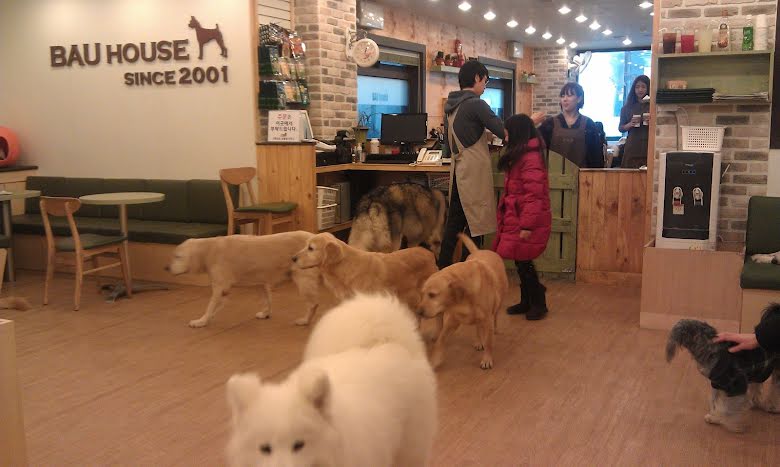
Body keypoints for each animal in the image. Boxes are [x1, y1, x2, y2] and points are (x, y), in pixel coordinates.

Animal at [167, 232, 320, 327]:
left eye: (178, 256)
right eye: (174, 255)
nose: (166, 268)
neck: (208, 249)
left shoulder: (219, 287)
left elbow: (210, 306)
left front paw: (201, 321)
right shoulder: (259, 282)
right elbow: (268, 299)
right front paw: (265, 313)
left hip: (303, 281)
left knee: (313, 304)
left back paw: (305, 321)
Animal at [417, 233, 509, 370]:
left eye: (432, 295)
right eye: (422, 294)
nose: (418, 312)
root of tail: (479, 250)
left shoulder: (487, 320)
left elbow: (489, 343)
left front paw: (487, 359)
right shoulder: (451, 321)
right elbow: (440, 341)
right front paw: (435, 360)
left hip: (498, 303)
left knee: (495, 317)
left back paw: (495, 330)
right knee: (478, 328)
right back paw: (478, 341)